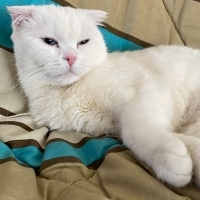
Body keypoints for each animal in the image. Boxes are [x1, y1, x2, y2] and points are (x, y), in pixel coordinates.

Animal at [7, 5, 200, 188]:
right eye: (49, 41)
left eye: (83, 42)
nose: (71, 57)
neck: (68, 91)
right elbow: (173, 136)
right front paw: (187, 154)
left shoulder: (145, 91)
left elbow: (135, 131)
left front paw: (170, 158)